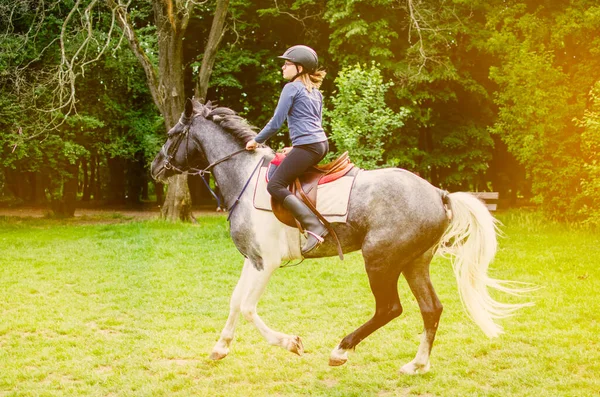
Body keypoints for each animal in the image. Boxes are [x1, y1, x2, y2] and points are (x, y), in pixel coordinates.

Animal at [151, 97, 528, 372]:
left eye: (172, 135)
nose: (155, 168)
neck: (244, 176)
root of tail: (438, 193)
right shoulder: (252, 259)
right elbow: (234, 302)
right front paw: (220, 348)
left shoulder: (266, 262)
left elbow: (247, 308)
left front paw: (291, 343)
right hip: (414, 263)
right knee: (431, 308)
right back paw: (417, 365)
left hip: (380, 260)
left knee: (390, 308)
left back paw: (341, 350)